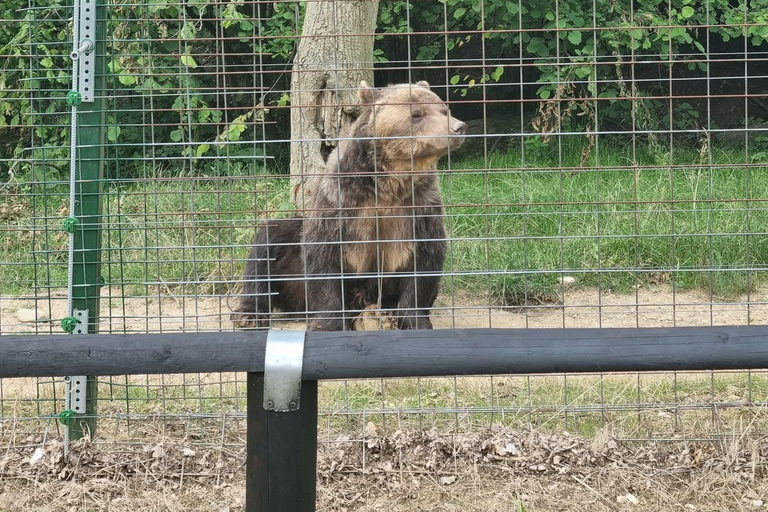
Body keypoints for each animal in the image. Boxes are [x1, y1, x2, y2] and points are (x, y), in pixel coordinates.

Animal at [231, 80, 467, 331]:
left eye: (443, 110)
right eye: (416, 114)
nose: (458, 127)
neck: (389, 182)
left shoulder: (419, 206)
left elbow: (425, 261)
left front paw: (414, 320)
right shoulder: (341, 202)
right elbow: (323, 256)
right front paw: (327, 324)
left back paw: (382, 312)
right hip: (294, 270)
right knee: (268, 245)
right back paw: (248, 314)